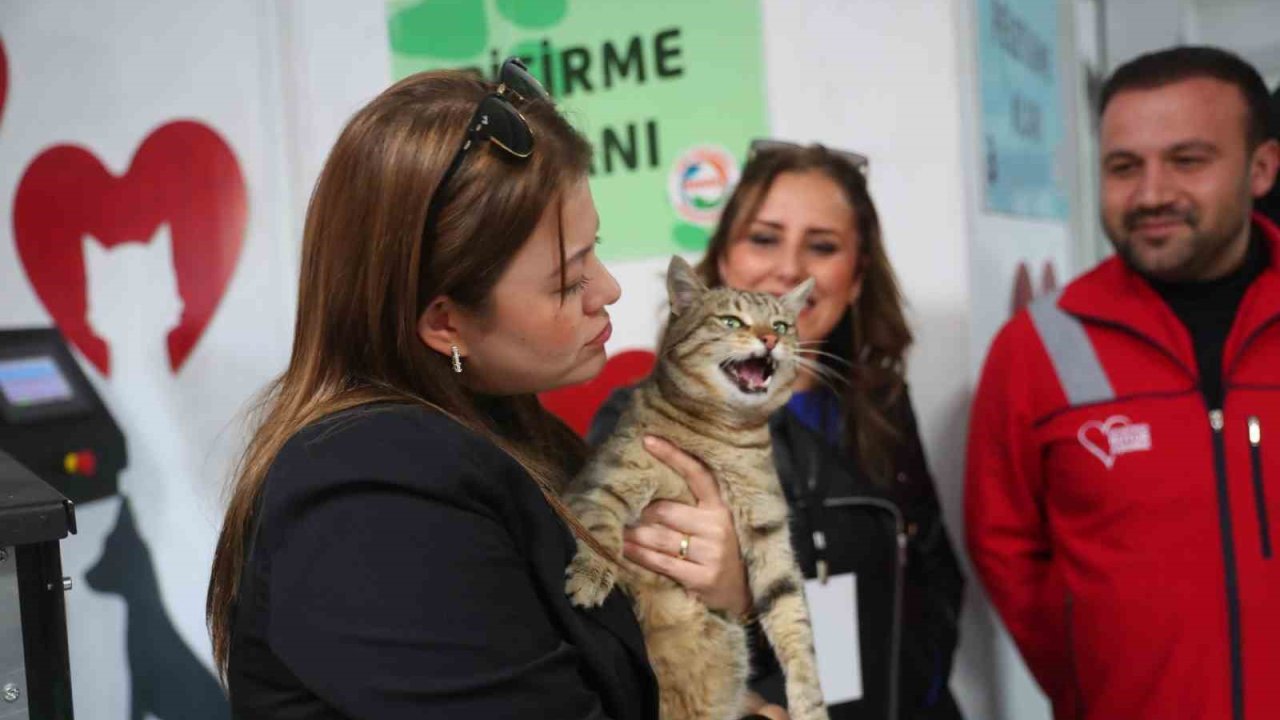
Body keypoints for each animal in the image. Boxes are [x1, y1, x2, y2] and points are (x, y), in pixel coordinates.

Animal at [563, 254, 824, 712]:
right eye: (732, 321)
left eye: (781, 325)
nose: (769, 339)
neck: (724, 437)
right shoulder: (601, 484)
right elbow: (601, 534)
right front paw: (591, 577)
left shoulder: (769, 529)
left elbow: (794, 621)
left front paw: (811, 704)